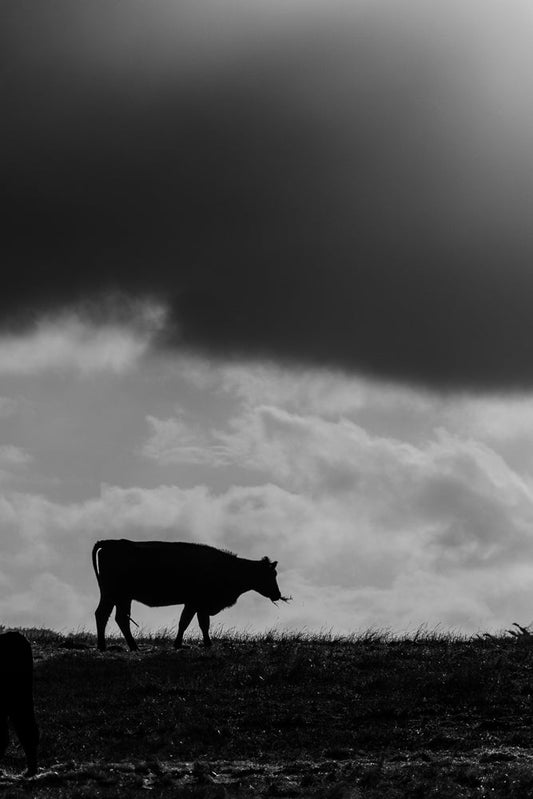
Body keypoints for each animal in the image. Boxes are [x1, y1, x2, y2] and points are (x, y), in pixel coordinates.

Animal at [92, 539, 288, 651]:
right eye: (270, 575)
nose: (277, 594)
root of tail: (109, 543)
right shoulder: (197, 603)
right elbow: (192, 623)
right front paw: (194, 644)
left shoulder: (196, 604)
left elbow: (194, 623)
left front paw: (193, 643)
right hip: (119, 596)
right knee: (116, 617)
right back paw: (131, 647)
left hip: (117, 597)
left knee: (107, 615)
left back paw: (106, 646)